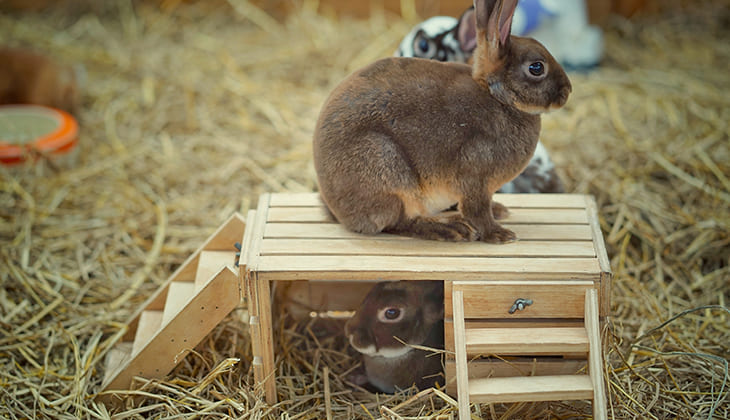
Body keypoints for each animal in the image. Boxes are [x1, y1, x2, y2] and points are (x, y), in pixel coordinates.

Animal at [312, 0, 568, 243]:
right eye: (537, 67)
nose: (567, 91)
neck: (497, 97)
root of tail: (337, 210)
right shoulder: (474, 177)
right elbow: (477, 211)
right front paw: (499, 235)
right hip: (386, 169)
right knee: (399, 221)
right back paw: (451, 229)